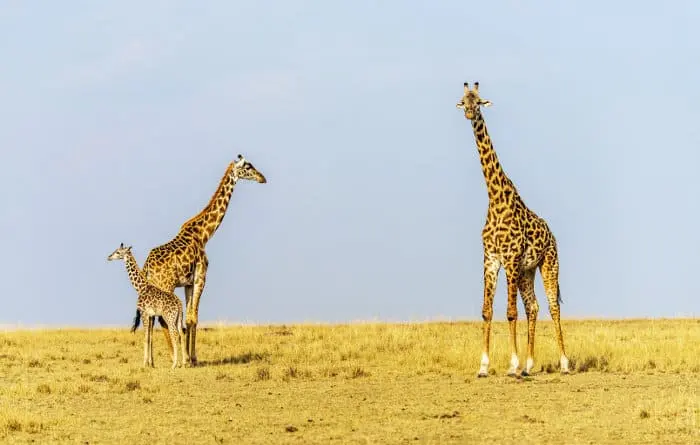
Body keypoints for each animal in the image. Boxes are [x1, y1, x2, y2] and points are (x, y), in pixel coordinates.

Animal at [142, 154, 266, 366]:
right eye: (248, 167)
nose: (262, 178)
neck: (204, 234)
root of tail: (147, 266)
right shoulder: (201, 277)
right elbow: (193, 318)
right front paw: (191, 358)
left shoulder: (188, 283)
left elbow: (189, 317)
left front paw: (190, 357)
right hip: (165, 285)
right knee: (160, 317)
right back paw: (172, 357)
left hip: (156, 287)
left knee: (151, 318)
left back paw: (151, 361)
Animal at [456, 82, 569, 377]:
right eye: (463, 100)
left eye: (478, 101)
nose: (469, 113)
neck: (495, 198)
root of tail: (553, 235)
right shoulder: (491, 259)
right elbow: (486, 311)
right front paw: (484, 366)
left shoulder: (510, 258)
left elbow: (509, 312)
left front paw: (512, 365)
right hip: (527, 271)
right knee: (533, 306)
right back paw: (530, 365)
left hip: (548, 263)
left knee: (552, 306)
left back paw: (564, 363)